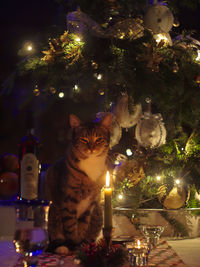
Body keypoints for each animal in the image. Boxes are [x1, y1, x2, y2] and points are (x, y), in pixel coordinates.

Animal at [43, 113, 111, 255]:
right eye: (84, 139)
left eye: (98, 139)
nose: (92, 149)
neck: (91, 163)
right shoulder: (68, 199)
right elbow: (70, 225)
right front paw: (73, 244)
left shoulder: (91, 202)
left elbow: (82, 225)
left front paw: (80, 244)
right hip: (54, 211)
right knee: (56, 237)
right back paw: (63, 247)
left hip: (97, 211)